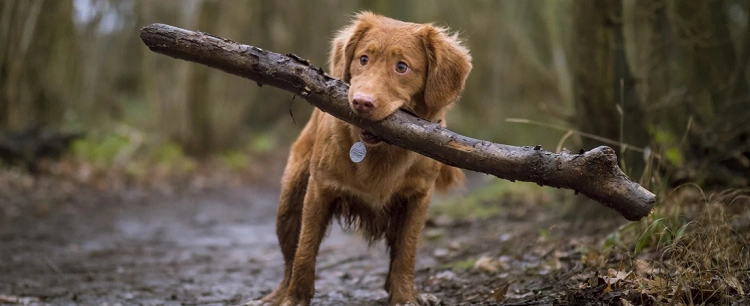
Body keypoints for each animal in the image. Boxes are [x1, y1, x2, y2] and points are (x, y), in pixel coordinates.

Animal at [256, 11, 472, 306]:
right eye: (363, 59)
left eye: (402, 67)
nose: (361, 102)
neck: (379, 151)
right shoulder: (319, 190)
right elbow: (305, 249)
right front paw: (295, 299)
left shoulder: (418, 198)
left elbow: (406, 254)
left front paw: (404, 297)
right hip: (290, 201)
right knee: (290, 258)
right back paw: (277, 295)